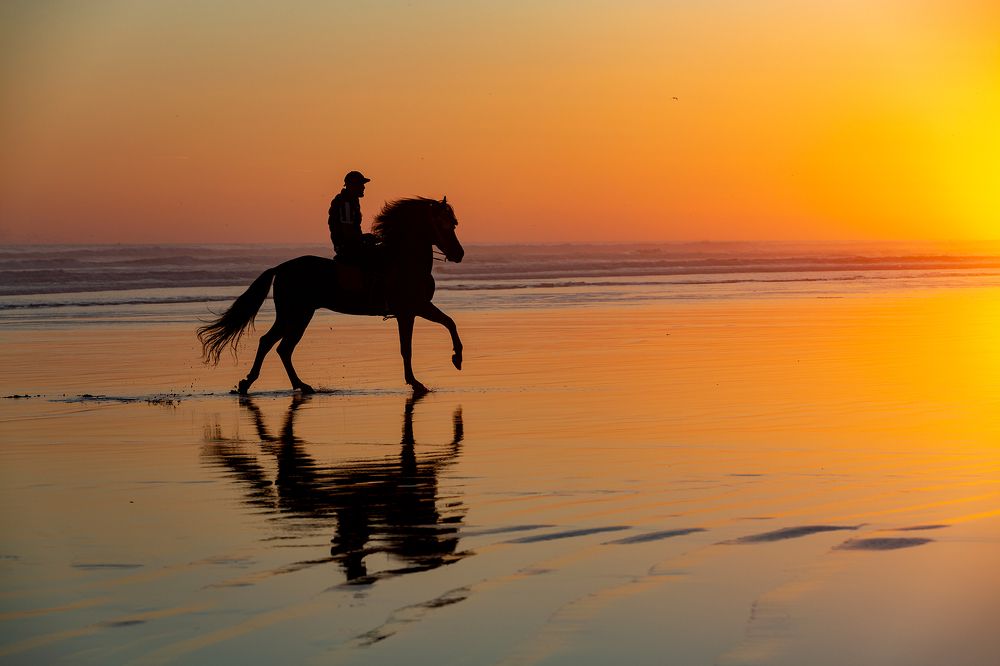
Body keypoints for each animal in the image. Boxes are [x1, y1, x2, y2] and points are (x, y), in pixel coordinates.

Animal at [197, 196, 464, 395]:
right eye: (446, 224)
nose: (459, 254)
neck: (405, 260)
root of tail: (280, 268)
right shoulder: (411, 309)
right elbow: (413, 344)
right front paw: (435, 371)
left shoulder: (415, 309)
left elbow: (446, 324)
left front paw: (451, 361)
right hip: (294, 314)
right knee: (270, 343)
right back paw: (249, 383)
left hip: (301, 315)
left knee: (283, 348)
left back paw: (299, 385)